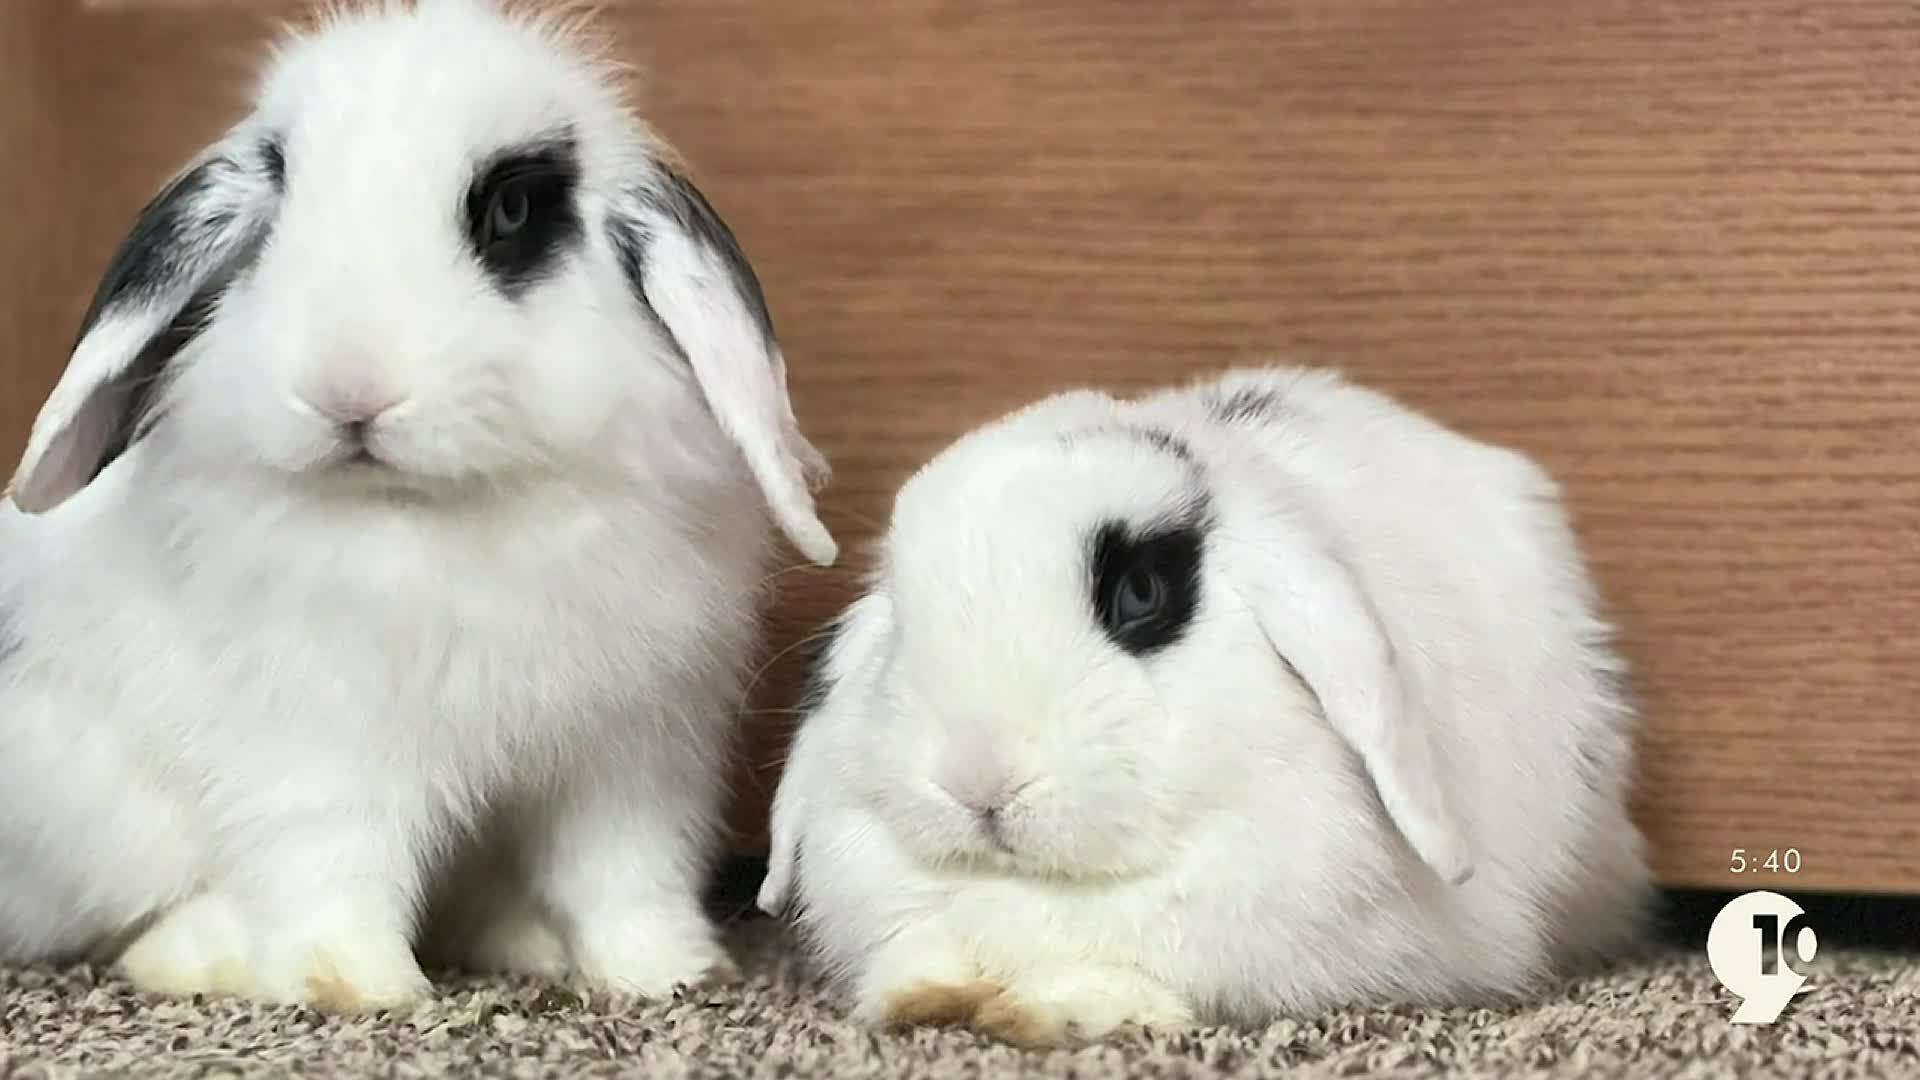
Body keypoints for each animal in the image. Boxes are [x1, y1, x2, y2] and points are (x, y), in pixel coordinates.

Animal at [0, 0, 838, 1011]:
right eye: (275, 211)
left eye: (510, 210)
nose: (347, 390)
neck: (440, 511)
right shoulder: (320, 753)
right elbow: (338, 867)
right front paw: (364, 990)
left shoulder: (629, 759)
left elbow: (624, 876)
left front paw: (666, 974)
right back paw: (209, 955)